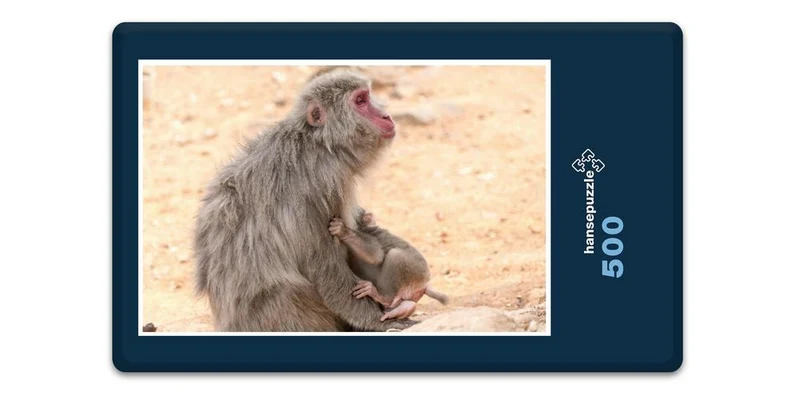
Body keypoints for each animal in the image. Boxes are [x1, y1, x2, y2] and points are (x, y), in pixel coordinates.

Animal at [193, 69, 409, 332]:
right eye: (360, 101)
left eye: (367, 95)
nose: (386, 115)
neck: (320, 143)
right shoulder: (325, 183)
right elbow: (324, 265)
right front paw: (377, 320)